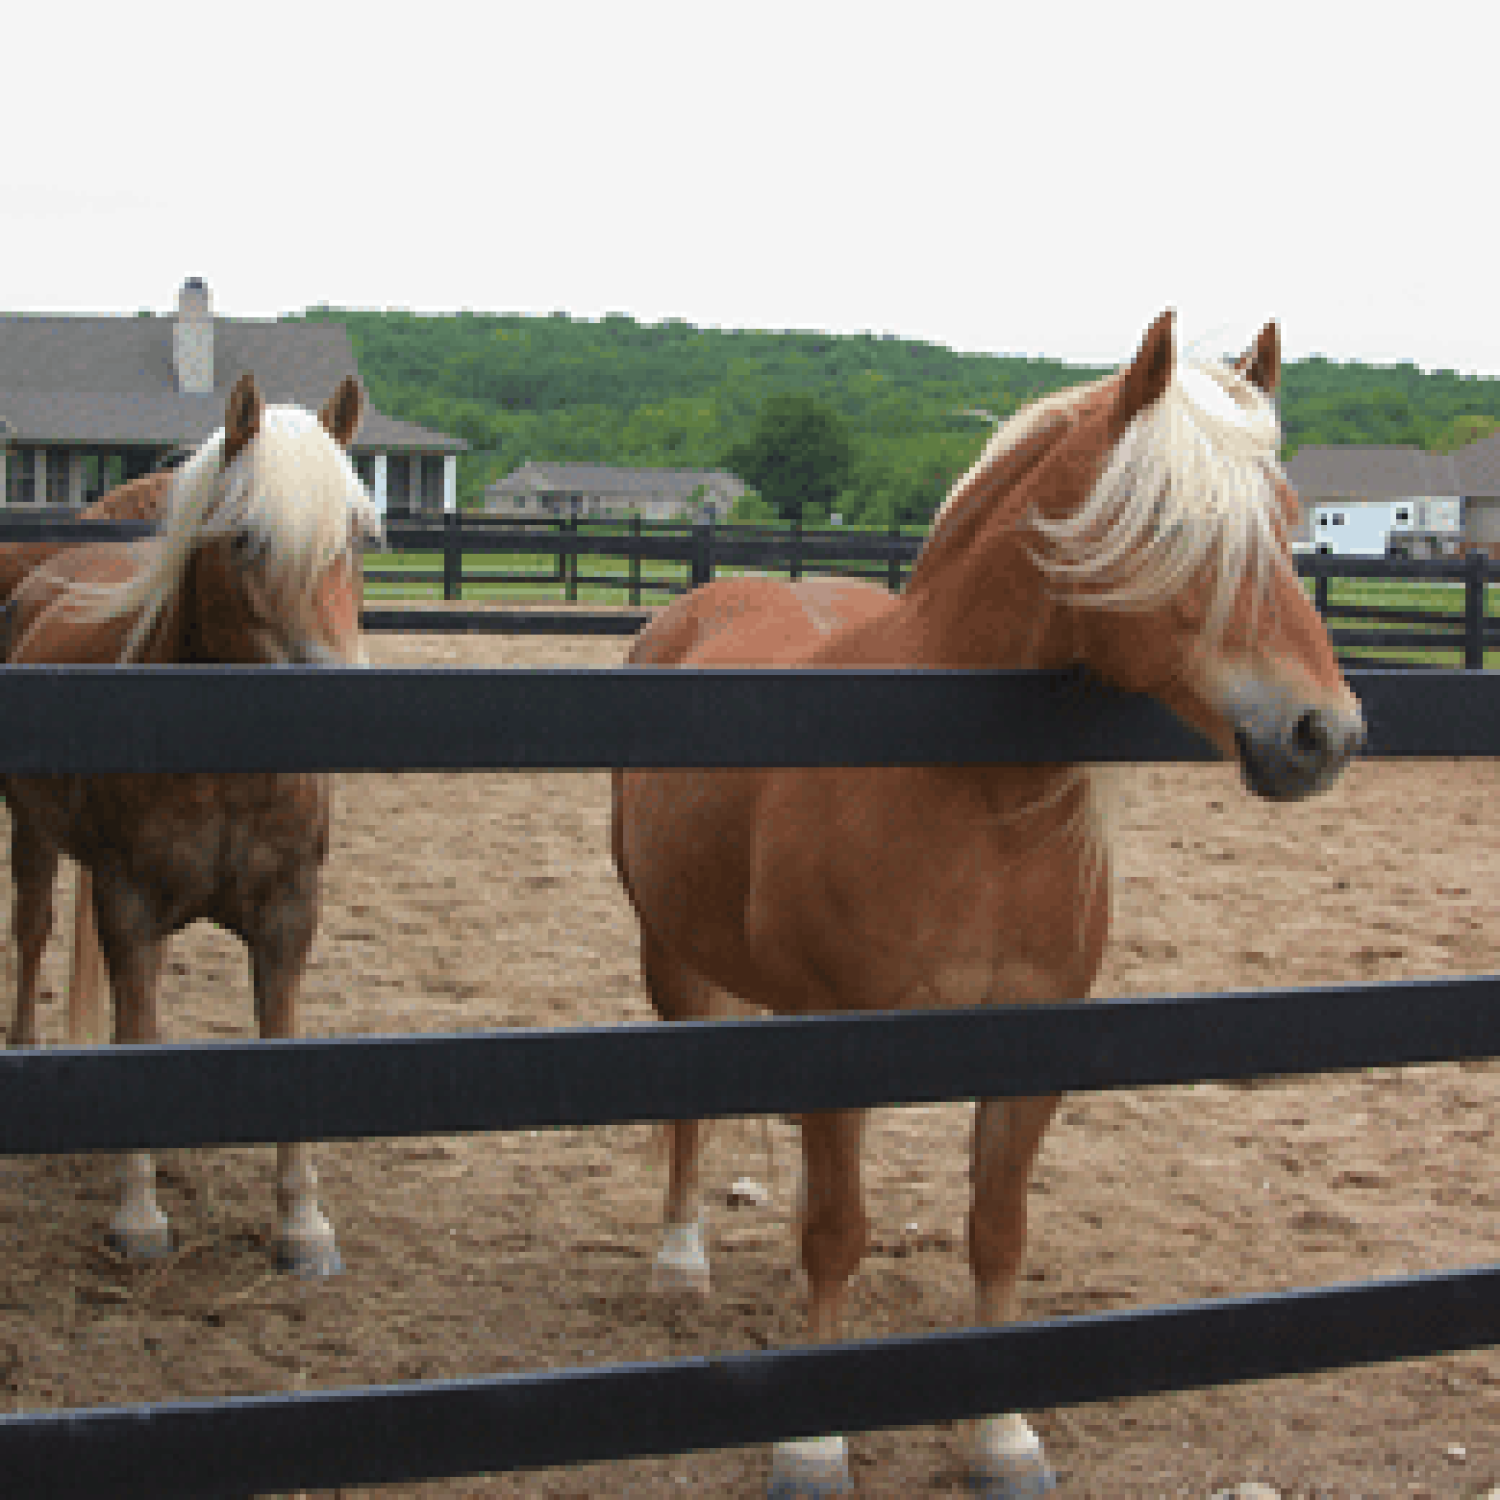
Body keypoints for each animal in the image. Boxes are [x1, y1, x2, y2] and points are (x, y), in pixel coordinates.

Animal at [3, 372, 380, 1277]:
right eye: (245, 537)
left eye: (358, 537)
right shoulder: (129, 909)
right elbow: (135, 1033)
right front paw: (138, 1217)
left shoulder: (287, 918)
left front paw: (303, 1227)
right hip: (29, 832)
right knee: (30, 929)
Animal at [610, 312, 1365, 1498]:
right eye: (1167, 524)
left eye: (1291, 523)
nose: (1321, 732)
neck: (967, 787)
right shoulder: (836, 1037)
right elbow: (837, 1232)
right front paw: (813, 1446)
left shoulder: (1027, 1045)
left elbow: (996, 1230)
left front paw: (1003, 1438)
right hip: (670, 953)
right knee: (689, 1106)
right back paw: (679, 1262)